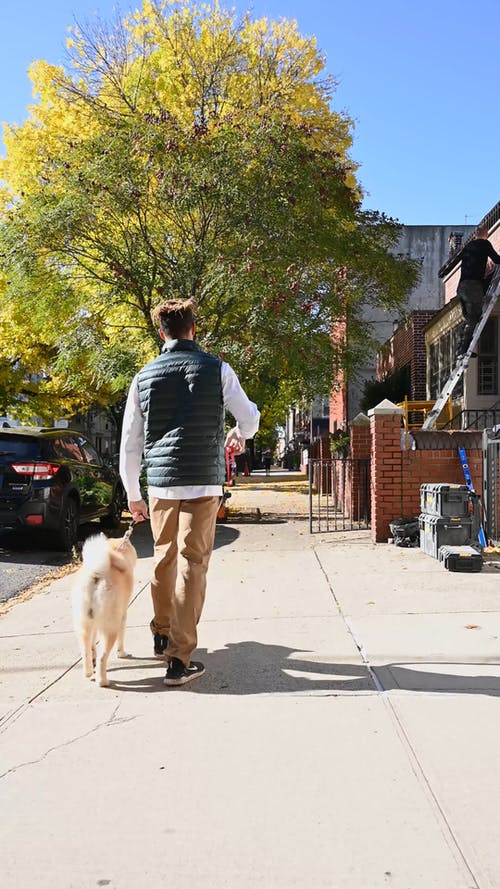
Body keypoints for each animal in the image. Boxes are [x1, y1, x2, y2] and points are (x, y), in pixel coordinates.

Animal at [72, 528, 137, 688]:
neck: (116, 551)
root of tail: (96, 574)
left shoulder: (94, 623)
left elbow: (92, 644)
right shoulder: (122, 616)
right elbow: (122, 637)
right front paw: (122, 653)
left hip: (83, 624)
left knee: (85, 650)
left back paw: (89, 672)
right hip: (110, 628)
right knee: (103, 657)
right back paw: (102, 681)